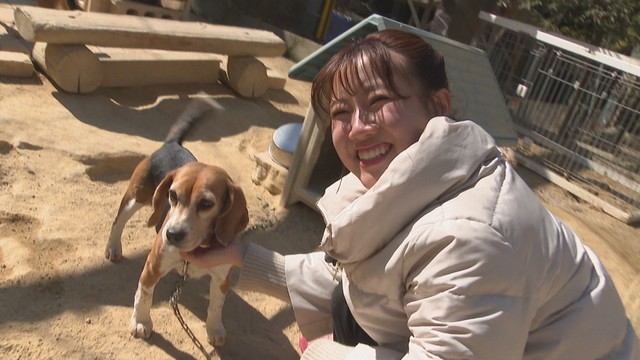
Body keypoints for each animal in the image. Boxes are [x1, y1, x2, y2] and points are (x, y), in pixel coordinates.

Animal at [105, 97, 248, 346]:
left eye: (206, 203)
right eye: (172, 195)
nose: (171, 235)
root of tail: (173, 144)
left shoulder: (223, 277)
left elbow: (216, 306)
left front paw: (214, 328)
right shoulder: (152, 266)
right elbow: (144, 296)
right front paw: (140, 322)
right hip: (135, 197)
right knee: (117, 223)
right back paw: (113, 247)